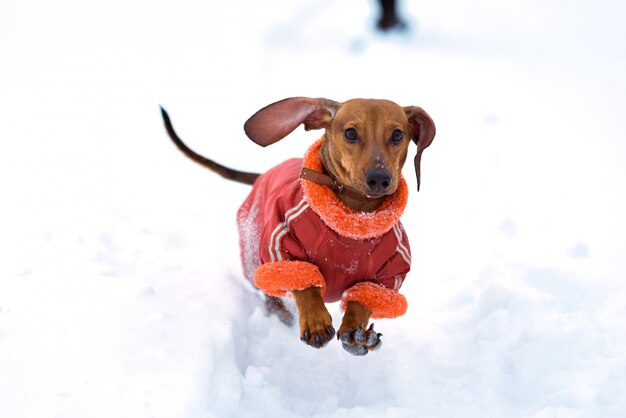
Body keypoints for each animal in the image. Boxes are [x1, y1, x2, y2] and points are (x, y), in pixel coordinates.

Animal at [161, 98, 434, 356]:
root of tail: (263, 175)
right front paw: (315, 319)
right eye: (350, 133)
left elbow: (364, 299)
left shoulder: (388, 276)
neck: (354, 223)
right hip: (255, 259)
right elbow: (305, 284)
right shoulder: (282, 249)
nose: (379, 179)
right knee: (271, 295)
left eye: (397, 134)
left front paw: (356, 334)